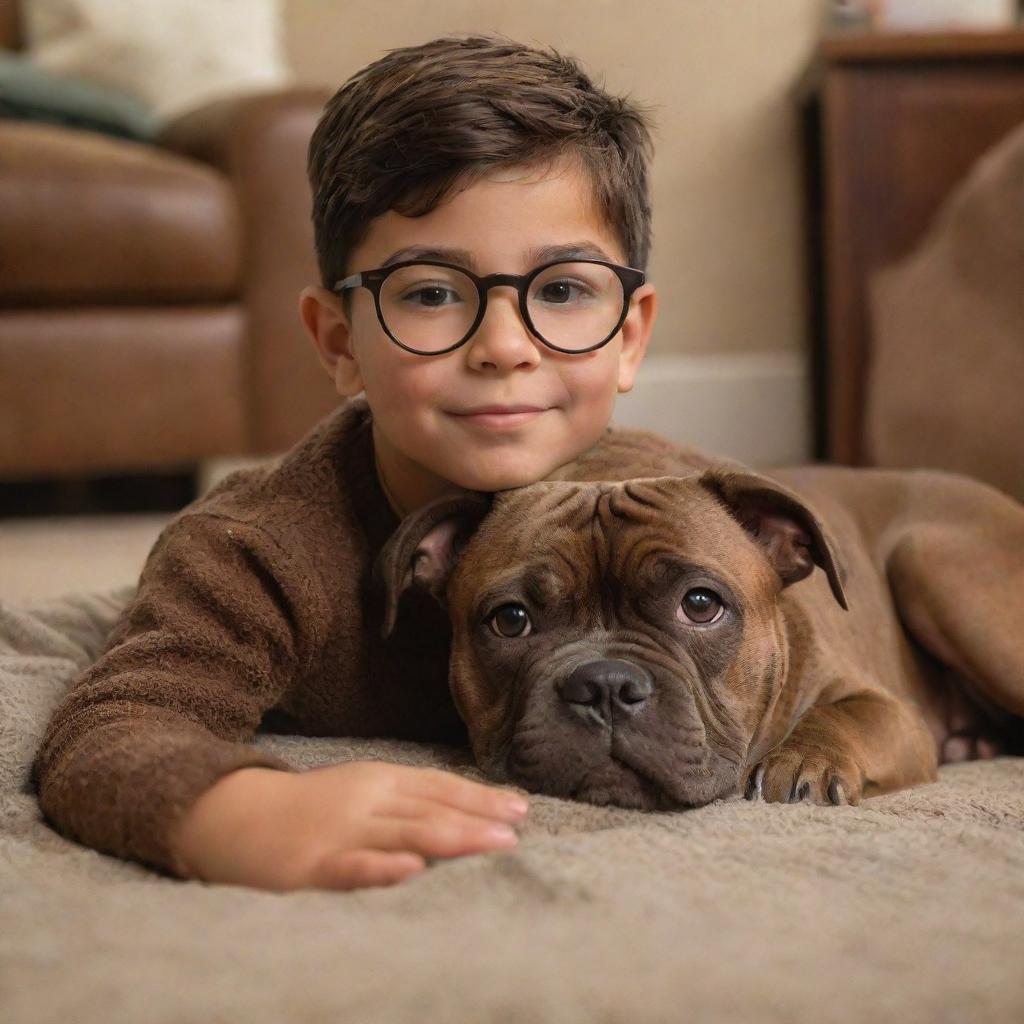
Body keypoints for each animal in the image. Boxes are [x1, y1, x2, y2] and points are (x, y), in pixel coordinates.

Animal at [372, 464, 1024, 806]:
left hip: (931, 563)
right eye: (511, 620)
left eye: (701, 605)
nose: (605, 684)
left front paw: (806, 760)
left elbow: (843, 716)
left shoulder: (889, 712)